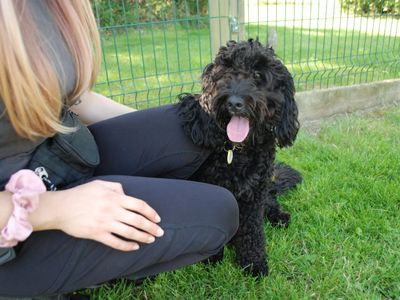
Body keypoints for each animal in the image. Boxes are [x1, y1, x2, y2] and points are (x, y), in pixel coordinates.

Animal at [177, 39, 300, 276]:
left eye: (258, 75)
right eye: (226, 72)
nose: (234, 102)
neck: (238, 151)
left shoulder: (255, 194)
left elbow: (253, 232)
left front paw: (254, 263)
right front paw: (212, 257)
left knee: (271, 202)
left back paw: (280, 217)